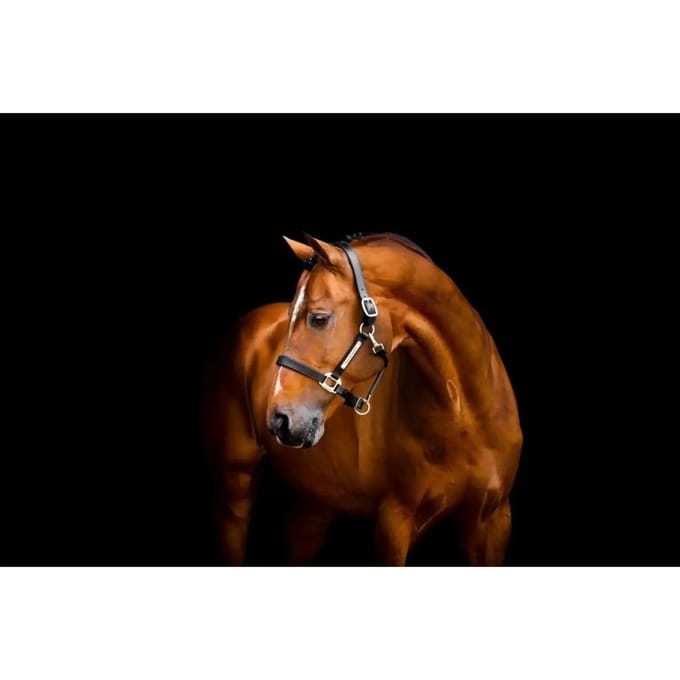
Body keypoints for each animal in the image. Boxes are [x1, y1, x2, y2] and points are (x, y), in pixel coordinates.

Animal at [203, 232, 522, 566]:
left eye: (319, 318)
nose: (279, 419)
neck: (465, 416)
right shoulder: (394, 522)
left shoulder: (493, 521)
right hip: (234, 486)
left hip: (314, 502)